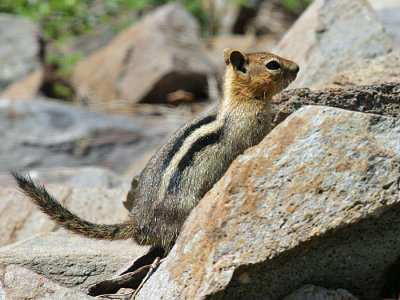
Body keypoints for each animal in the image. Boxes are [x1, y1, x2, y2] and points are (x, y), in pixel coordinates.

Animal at [12, 48, 298, 253]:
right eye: (273, 64)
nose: (297, 67)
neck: (240, 102)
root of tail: (137, 220)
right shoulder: (249, 132)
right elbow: (259, 138)